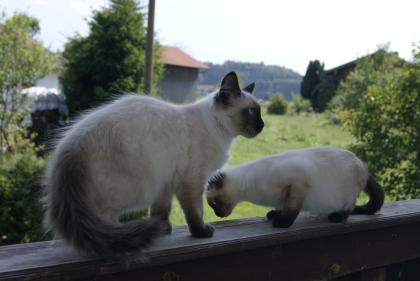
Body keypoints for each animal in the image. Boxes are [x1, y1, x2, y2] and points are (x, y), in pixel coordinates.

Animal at [43, 71, 266, 255]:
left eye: (259, 112)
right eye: (251, 112)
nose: (262, 125)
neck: (219, 130)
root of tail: (70, 145)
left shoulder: (166, 184)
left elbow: (161, 211)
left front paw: (163, 229)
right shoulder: (192, 181)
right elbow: (195, 212)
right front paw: (201, 232)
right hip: (133, 188)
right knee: (103, 218)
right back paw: (123, 235)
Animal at [206, 147, 384, 228]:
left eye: (214, 204)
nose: (217, 214)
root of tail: (362, 165)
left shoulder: (298, 181)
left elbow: (291, 209)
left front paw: (281, 222)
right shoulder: (283, 196)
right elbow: (282, 206)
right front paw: (274, 214)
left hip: (346, 196)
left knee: (349, 208)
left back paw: (336, 217)